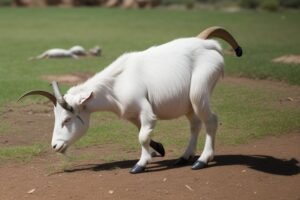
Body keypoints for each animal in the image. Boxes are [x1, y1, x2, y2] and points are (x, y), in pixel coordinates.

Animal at [19, 26, 243, 173]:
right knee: (195, 124)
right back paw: (184, 157)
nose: (55, 146)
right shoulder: (131, 114)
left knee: (211, 120)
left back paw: (202, 161)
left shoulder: (146, 111)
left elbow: (142, 136)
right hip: (188, 103)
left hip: (199, 91)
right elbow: (142, 133)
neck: (117, 83)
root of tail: (208, 44)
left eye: (67, 120)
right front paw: (157, 150)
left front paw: (139, 165)